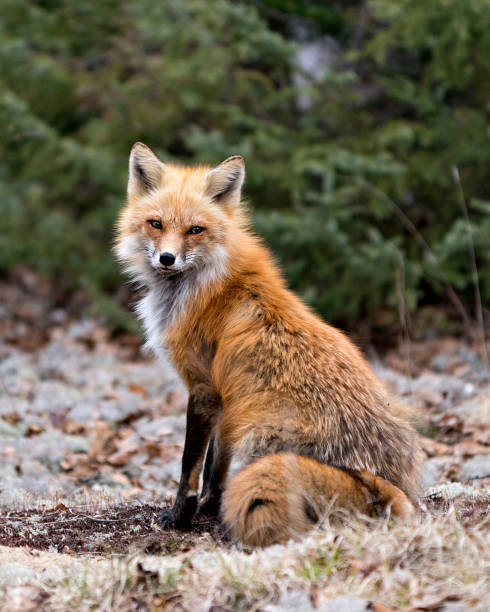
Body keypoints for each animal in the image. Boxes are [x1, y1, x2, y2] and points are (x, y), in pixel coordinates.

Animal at [116, 142, 422, 544]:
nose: (167, 259)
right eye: (156, 224)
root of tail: (387, 485)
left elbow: (190, 465)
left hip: (259, 436)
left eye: (195, 230)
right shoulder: (228, 398)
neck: (209, 282)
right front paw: (210, 507)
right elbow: (216, 464)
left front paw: (179, 516)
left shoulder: (203, 387)